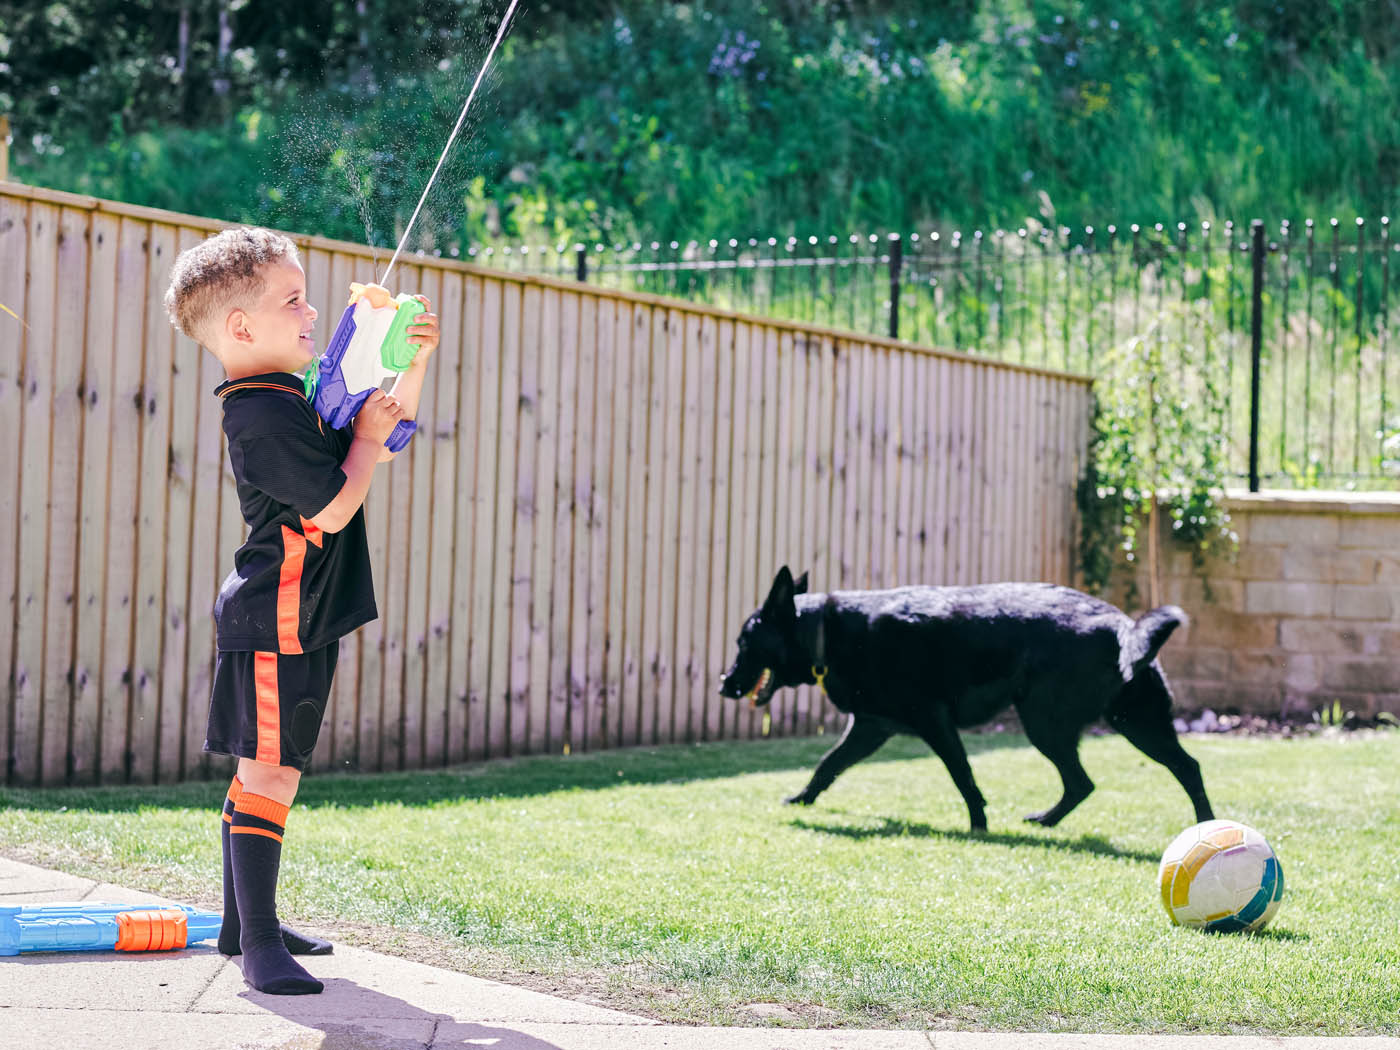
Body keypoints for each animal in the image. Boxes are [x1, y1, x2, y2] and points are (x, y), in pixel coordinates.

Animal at [722, 571, 1215, 834]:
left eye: (743, 643)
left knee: (1099, 778)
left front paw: (978, 825)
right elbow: (827, 765)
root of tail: (1122, 625)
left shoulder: (933, 721)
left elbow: (963, 776)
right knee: (1166, 770)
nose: (723, 684)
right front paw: (802, 799)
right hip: (1134, 721)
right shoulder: (871, 727)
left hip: (1048, 724)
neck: (825, 631)